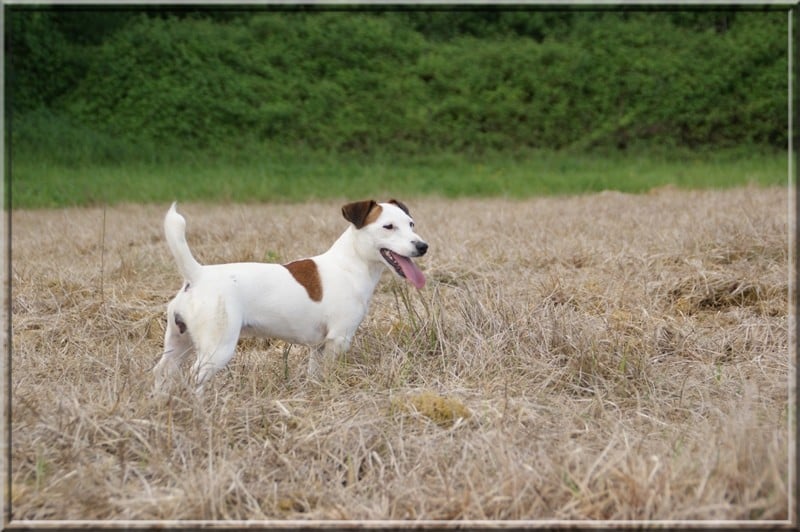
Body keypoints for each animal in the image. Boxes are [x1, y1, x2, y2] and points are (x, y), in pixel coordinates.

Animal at [153, 198, 428, 390]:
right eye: (388, 227)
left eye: (411, 224)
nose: (422, 246)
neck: (351, 264)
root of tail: (197, 276)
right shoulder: (339, 339)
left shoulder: (319, 346)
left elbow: (315, 374)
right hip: (217, 348)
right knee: (195, 377)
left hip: (179, 345)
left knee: (162, 372)